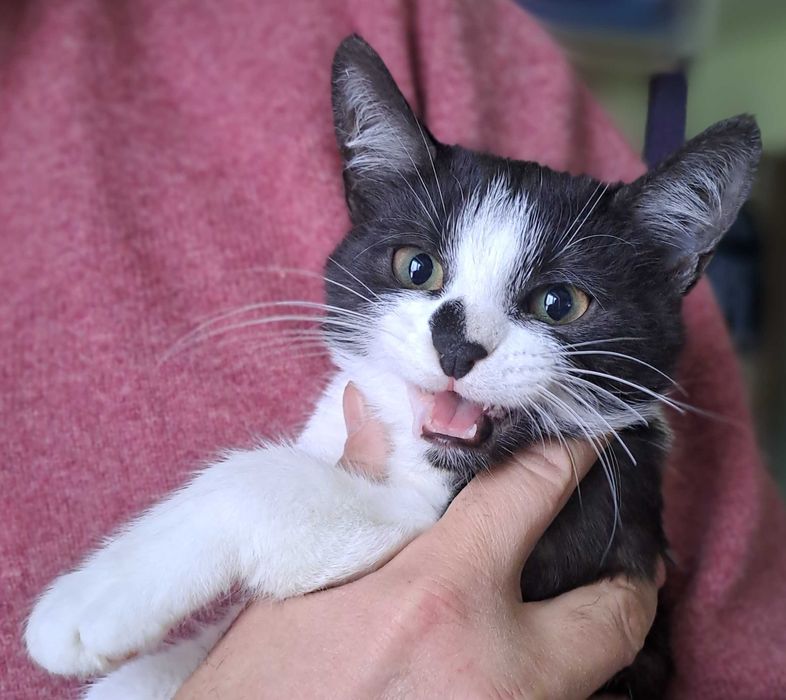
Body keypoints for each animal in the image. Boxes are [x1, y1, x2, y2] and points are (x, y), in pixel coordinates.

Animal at [24, 35, 761, 699]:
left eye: (560, 303)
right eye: (416, 266)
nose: (457, 344)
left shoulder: (579, 533)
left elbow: (269, 484)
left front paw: (90, 604)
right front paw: (149, 667)